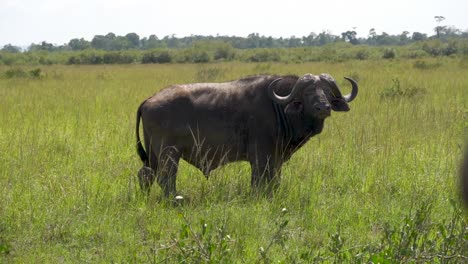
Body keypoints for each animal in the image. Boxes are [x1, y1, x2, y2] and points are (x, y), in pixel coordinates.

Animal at [135, 73, 358, 197]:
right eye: (308, 93)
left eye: (327, 92)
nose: (324, 107)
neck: (279, 107)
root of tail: (149, 99)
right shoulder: (261, 157)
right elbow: (259, 181)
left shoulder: (276, 159)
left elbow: (275, 181)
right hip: (169, 154)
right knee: (166, 178)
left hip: (153, 155)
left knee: (146, 174)